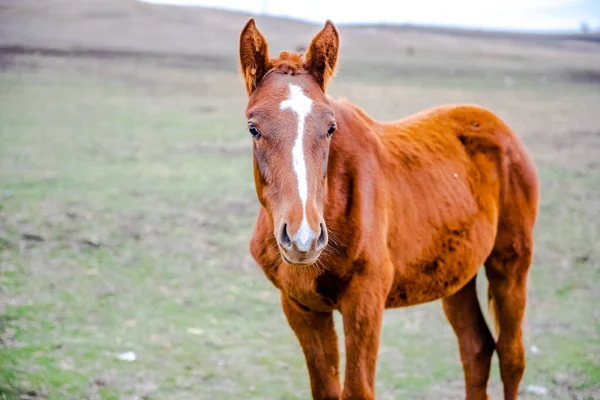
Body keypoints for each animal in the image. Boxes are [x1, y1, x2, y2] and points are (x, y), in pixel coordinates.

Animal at [238, 17, 540, 398]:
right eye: (253, 128)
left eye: (330, 127)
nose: (303, 238)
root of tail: (498, 127)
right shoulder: (301, 307)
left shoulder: (365, 303)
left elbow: (357, 388)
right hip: (458, 274)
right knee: (476, 349)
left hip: (510, 262)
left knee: (512, 357)